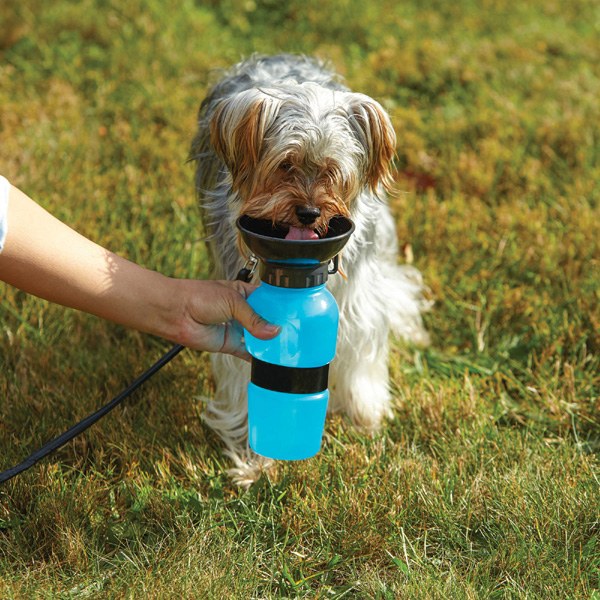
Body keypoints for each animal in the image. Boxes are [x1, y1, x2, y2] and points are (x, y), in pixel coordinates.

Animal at [190, 54, 428, 486]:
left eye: (332, 170)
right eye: (285, 165)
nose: (310, 212)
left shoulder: (356, 298)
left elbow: (361, 349)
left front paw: (365, 417)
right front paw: (255, 460)